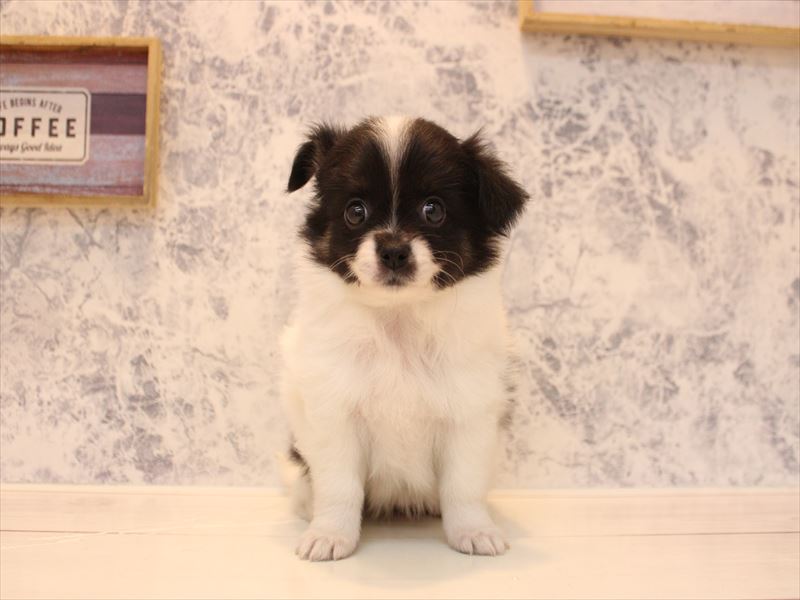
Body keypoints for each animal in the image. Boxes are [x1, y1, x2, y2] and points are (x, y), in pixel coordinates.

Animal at [280, 116, 528, 561]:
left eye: (434, 210)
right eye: (355, 211)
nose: (394, 250)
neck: (398, 319)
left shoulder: (470, 413)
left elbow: (463, 486)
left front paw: (473, 531)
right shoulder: (334, 413)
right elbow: (339, 486)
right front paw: (330, 535)